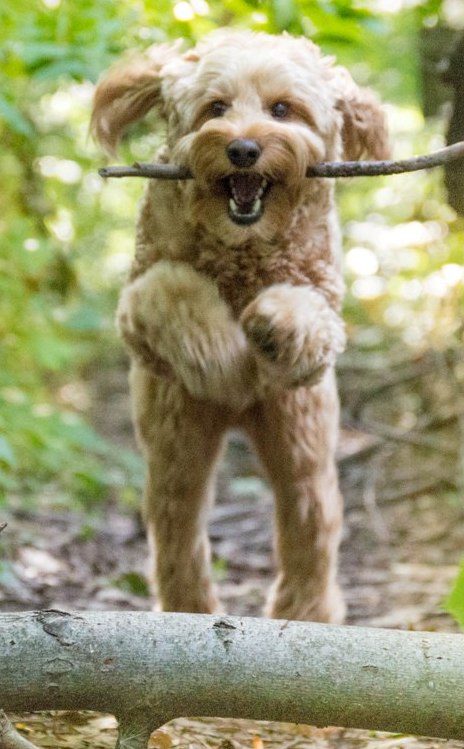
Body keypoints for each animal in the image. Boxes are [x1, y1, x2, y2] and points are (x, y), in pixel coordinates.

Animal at [90, 29, 388, 624]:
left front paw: (271, 325)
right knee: (178, 533)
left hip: (301, 439)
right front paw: (224, 360)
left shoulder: (320, 299)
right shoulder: (139, 302)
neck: (242, 248)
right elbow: (172, 292)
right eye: (216, 108)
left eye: (282, 109)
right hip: (175, 442)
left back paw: (305, 615)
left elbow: (304, 313)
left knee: (309, 525)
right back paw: (188, 610)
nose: (244, 149)